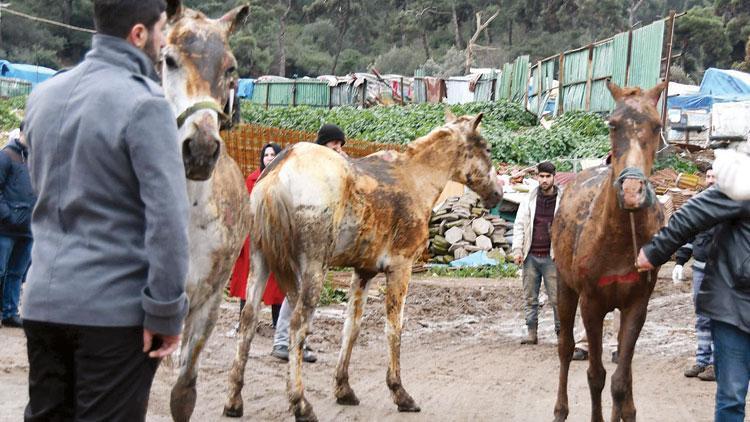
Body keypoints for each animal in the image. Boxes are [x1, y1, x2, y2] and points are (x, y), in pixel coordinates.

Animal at [222, 112, 506, 422]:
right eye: (487, 148)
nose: (498, 193)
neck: (417, 179)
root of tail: (275, 176)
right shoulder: (400, 267)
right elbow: (394, 327)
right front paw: (400, 392)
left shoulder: (363, 271)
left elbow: (352, 327)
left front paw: (343, 388)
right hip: (313, 268)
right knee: (297, 324)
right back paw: (301, 403)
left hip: (260, 261)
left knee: (247, 321)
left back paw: (234, 400)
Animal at [552, 80, 668, 422]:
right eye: (613, 124)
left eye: (657, 125)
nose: (631, 191)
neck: (618, 238)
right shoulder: (591, 304)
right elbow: (596, 375)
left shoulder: (636, 306)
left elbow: (620, 380)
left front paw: (626, 410)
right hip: (565, 288)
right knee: (565, 348)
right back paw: (560, 409)